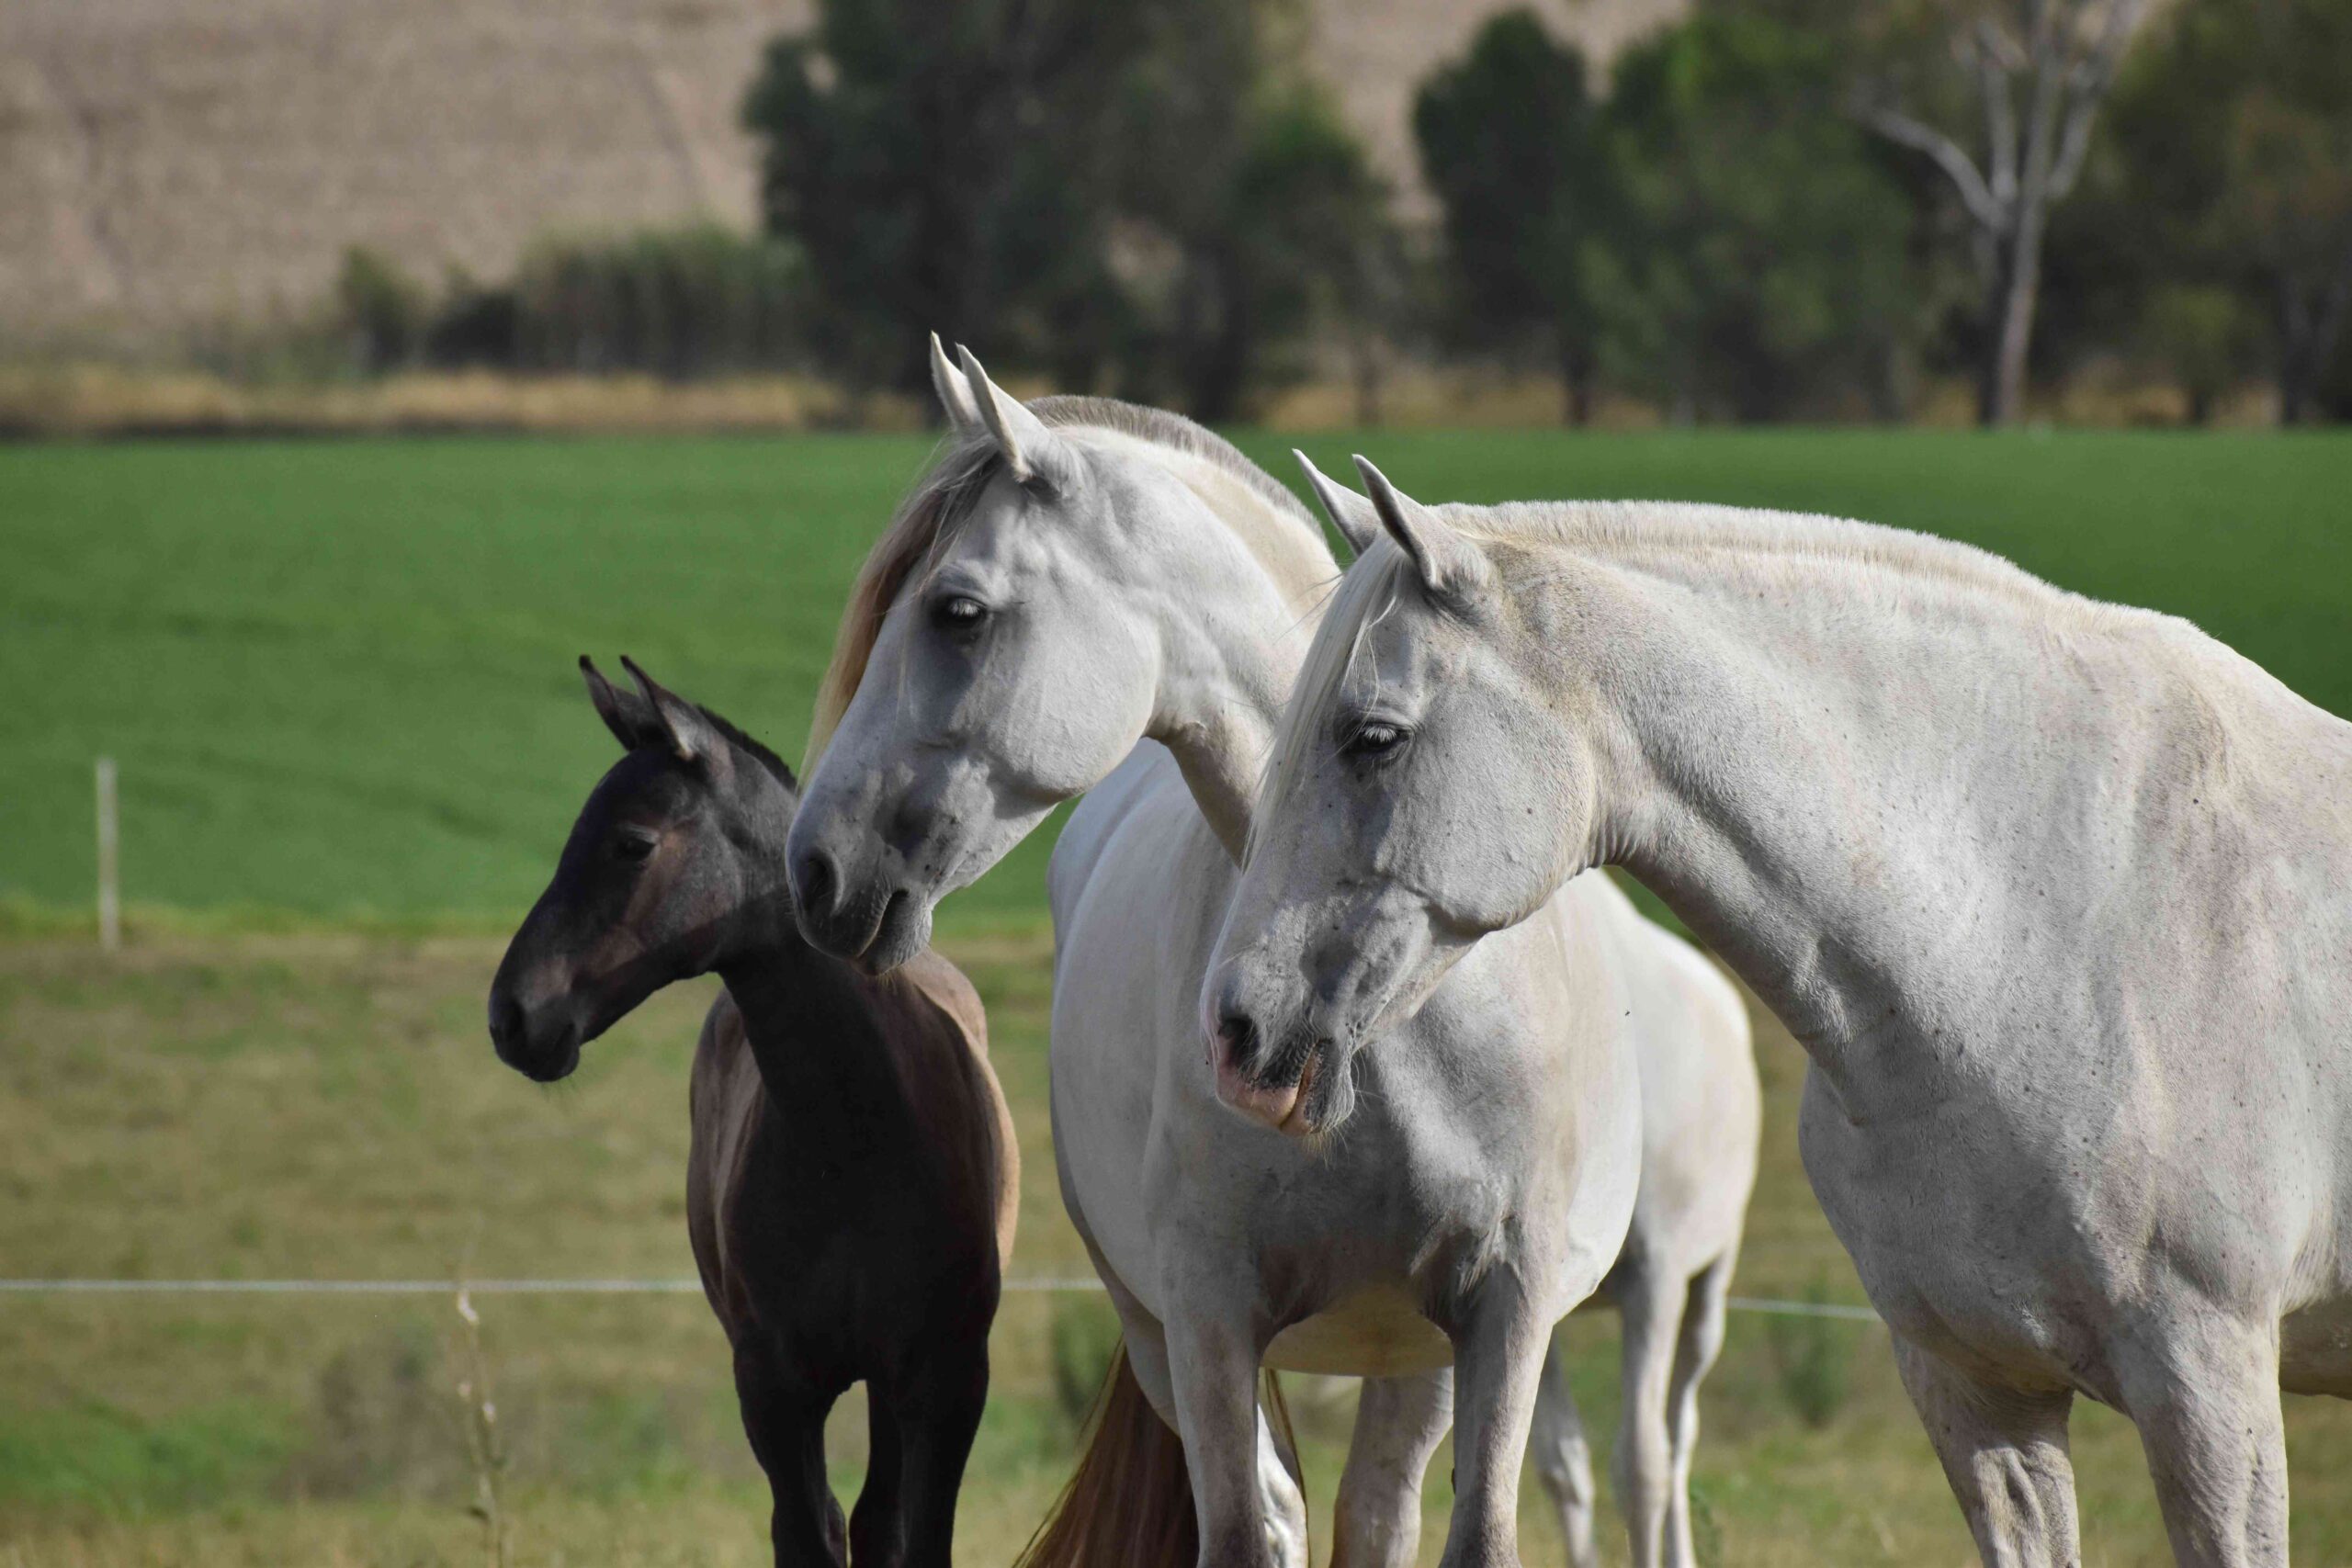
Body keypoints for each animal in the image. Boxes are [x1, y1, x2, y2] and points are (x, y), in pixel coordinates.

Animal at [487, 657, 1018, 1568]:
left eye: (632, 843)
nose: (512, 1015)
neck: (858, 1133)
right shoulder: (772, 1389)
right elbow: (806, 1533)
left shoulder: (947, 1381)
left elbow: (912, 1537)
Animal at [788, 340, 1757, 1568]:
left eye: (956, 611)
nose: (815, 868)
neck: (1396, 1030)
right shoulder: (1207, 1318)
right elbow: (1250, 1533)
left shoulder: (1501, 1311)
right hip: (1163, 1334)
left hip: (1426, 1357)